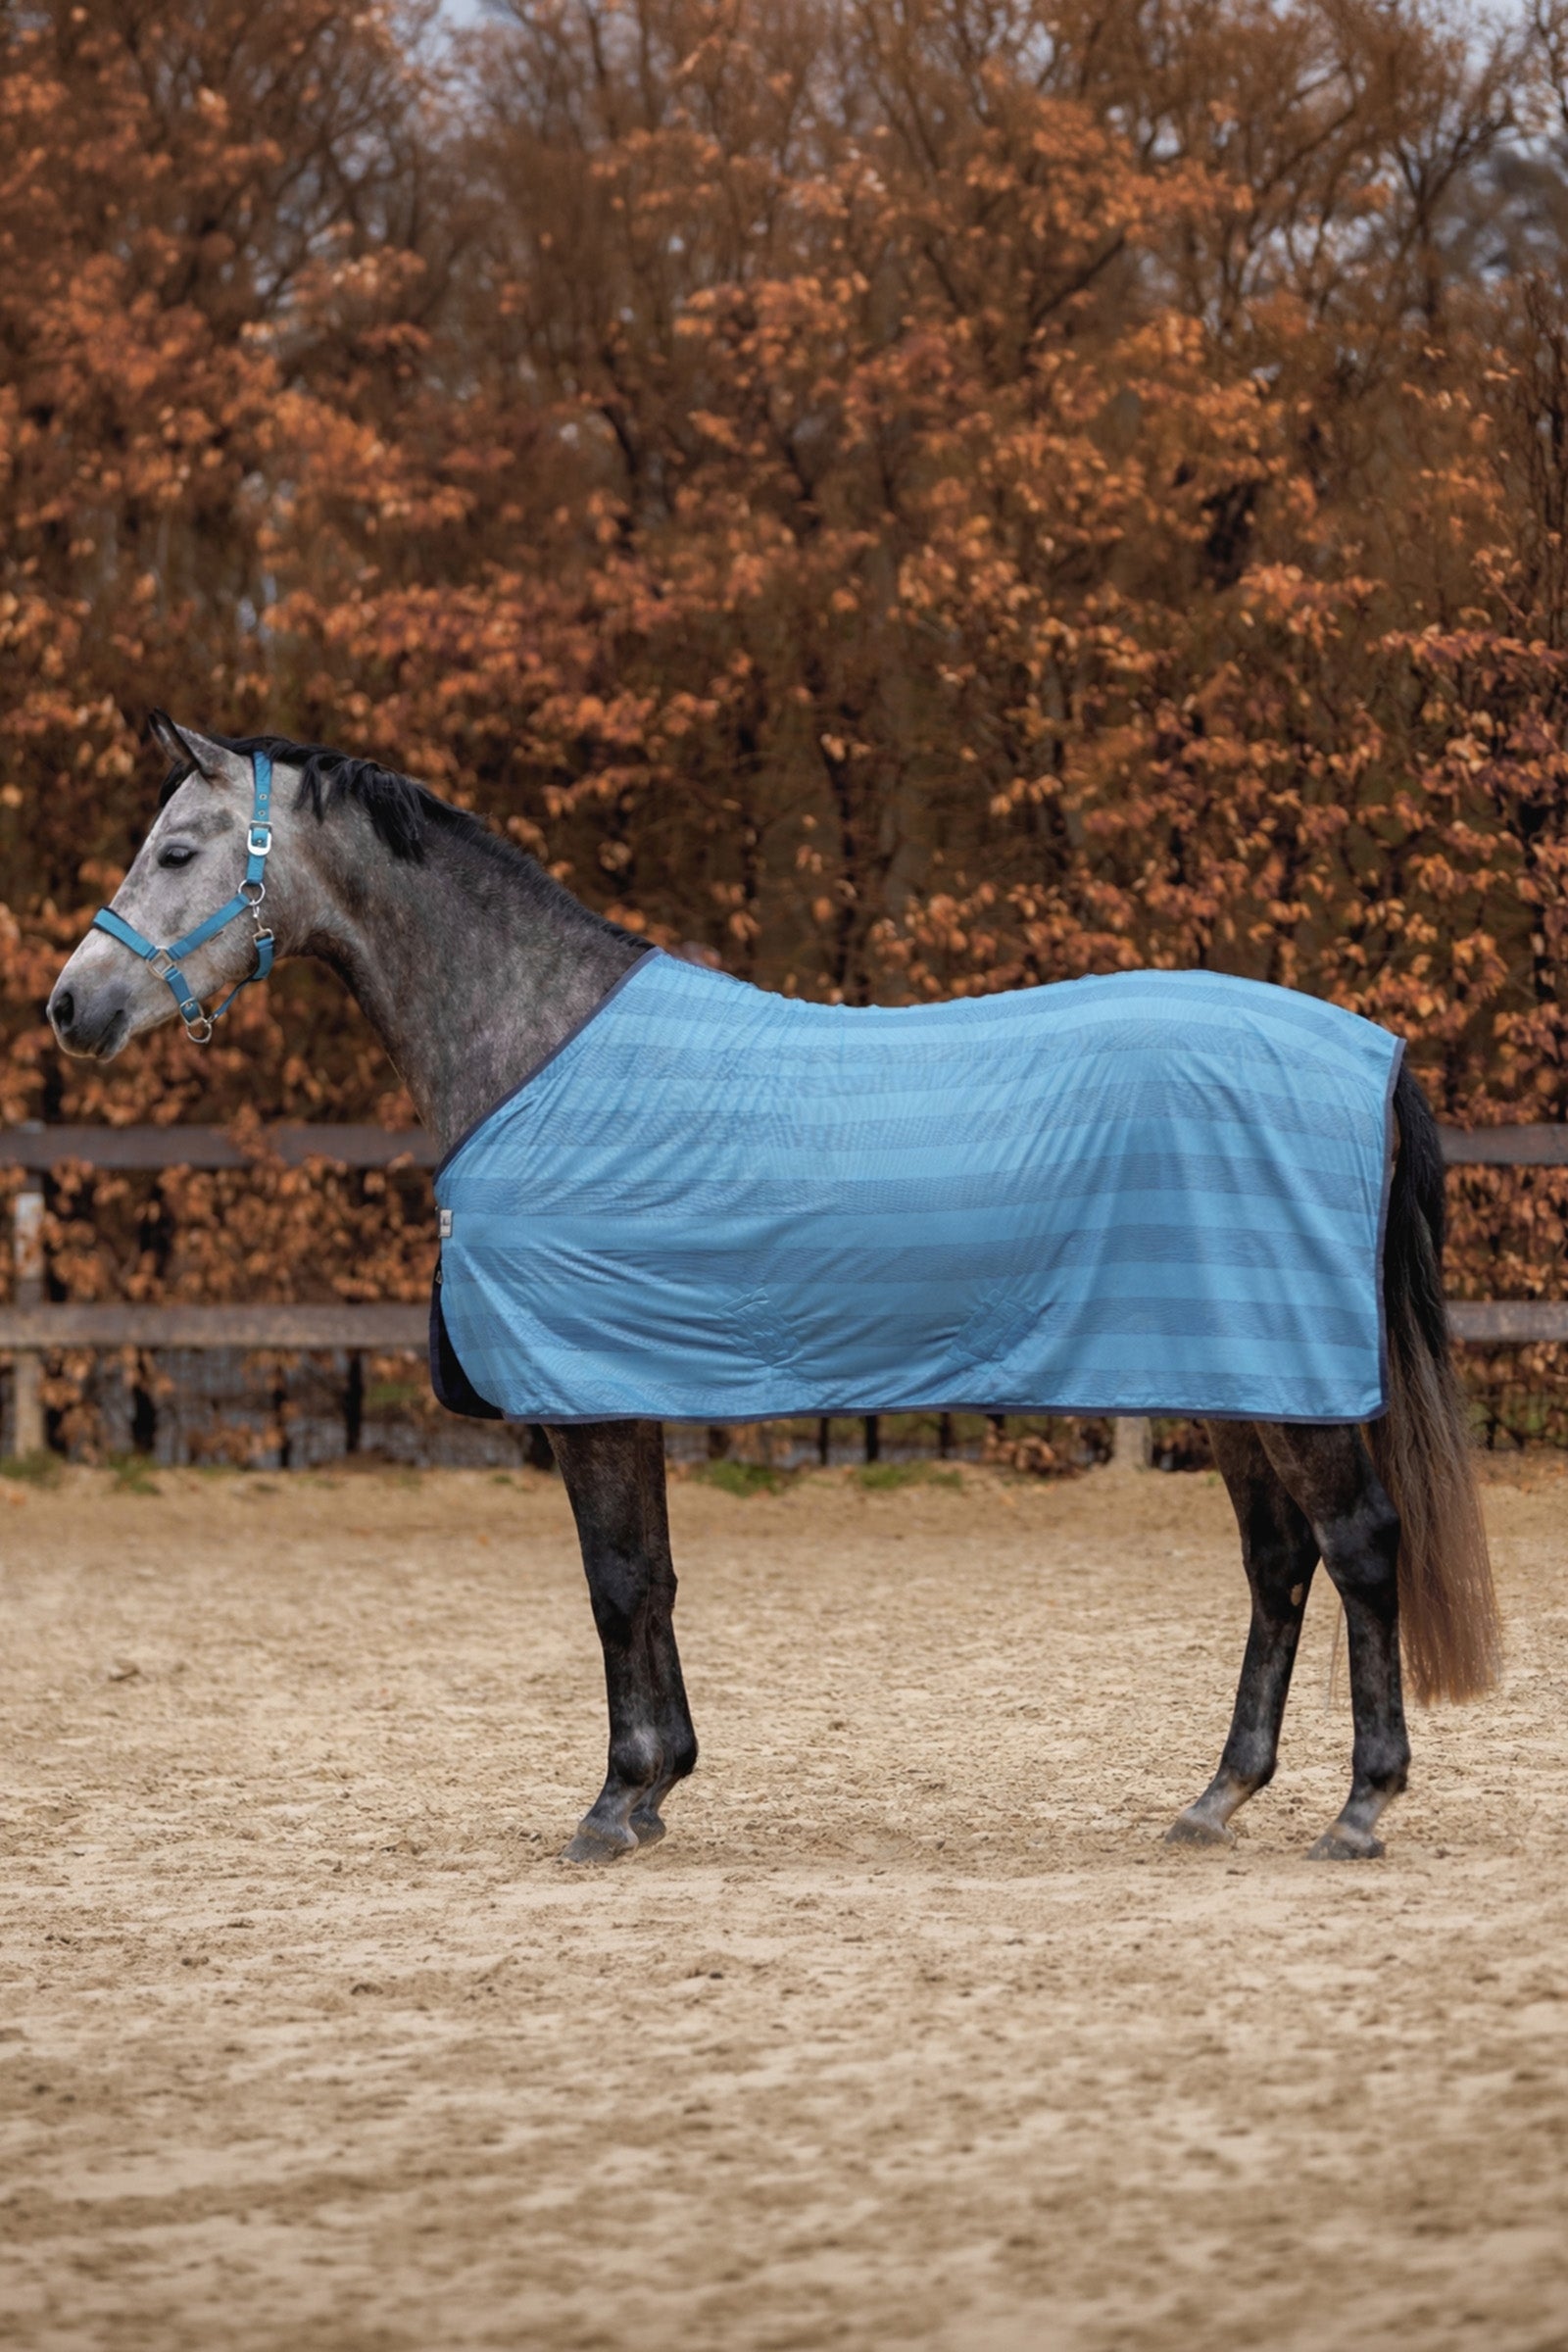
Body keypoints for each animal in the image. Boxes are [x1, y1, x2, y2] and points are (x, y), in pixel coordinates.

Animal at [47, 715, 1501, 1864]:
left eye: (177, 851)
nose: (72, 1006)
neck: (539, 1044)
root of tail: (1374, 1053)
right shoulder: (622, 1388)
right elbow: (654, 1579)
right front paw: (657, 1787)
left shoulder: (590, 1402)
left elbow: (616, 1585)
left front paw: (615, 1803)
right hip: (1240, 1375)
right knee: (1278, 1564)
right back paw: (1217, 1798)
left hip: (1293, 1387)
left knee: (1360, 1549)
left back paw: (1360, 1810)